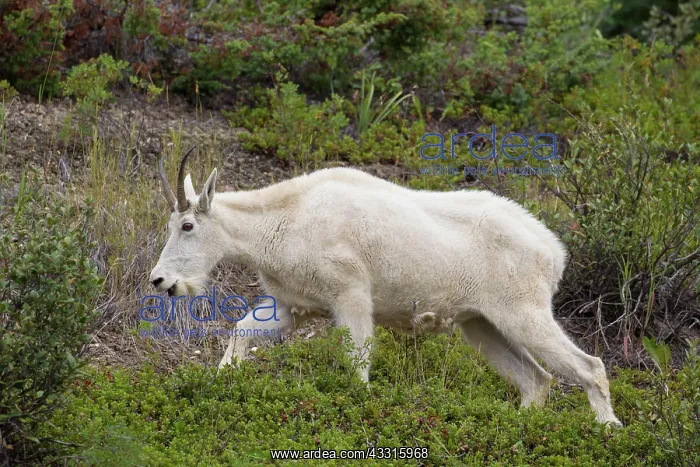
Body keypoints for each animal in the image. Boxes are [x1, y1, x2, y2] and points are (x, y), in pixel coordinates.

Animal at [149, 147, 622, 426]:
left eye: (188, 225)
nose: (161, 280)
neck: (287, 219)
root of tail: (553, 251)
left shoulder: (351, 296)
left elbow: (358, 358)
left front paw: (363, 409)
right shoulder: (291, 306)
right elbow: (241, 332)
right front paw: (219, 384)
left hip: (524, 312)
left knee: (590, 367)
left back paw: (608, 430)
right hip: (482, 324)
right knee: (537, 380)